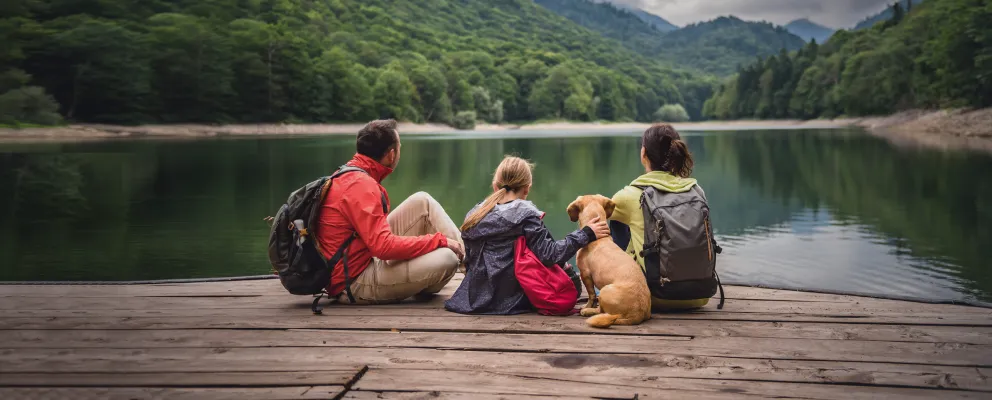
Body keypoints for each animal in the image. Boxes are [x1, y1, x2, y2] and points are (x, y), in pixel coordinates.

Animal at [564, 195, 652, 328]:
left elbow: (591, 295)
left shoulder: (585, 274)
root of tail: (637, 314)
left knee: (601, 310)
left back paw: (587, 311)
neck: (599, 238)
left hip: (604, 290)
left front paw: (587, 306)